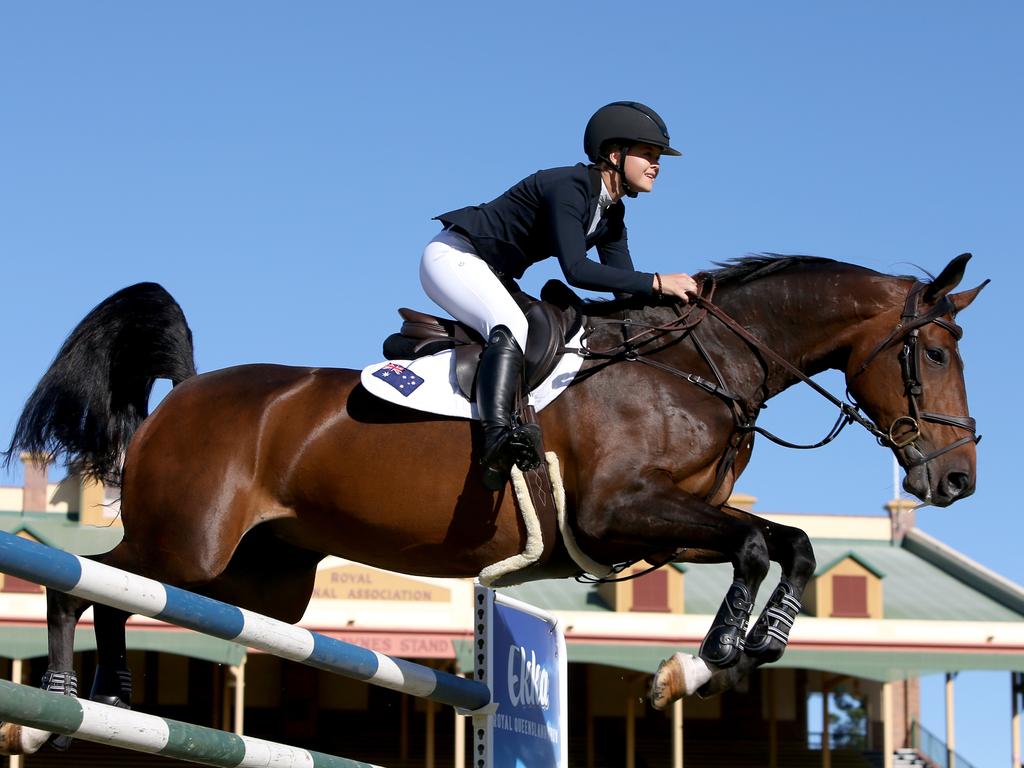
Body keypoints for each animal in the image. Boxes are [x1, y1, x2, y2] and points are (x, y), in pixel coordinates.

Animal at [2, 253, 991, 757]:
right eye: (937, 353)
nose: (956, 482)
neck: (695, 367)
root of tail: (188, 392)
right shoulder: (620, 511)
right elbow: (762, 545)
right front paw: (715, 653)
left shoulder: (658, 528)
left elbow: (785, 543)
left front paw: (726, 656)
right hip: (190, 544)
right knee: (86, 580)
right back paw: (67, 700)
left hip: (263, 582)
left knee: (126, 594)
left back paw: (119, 699)